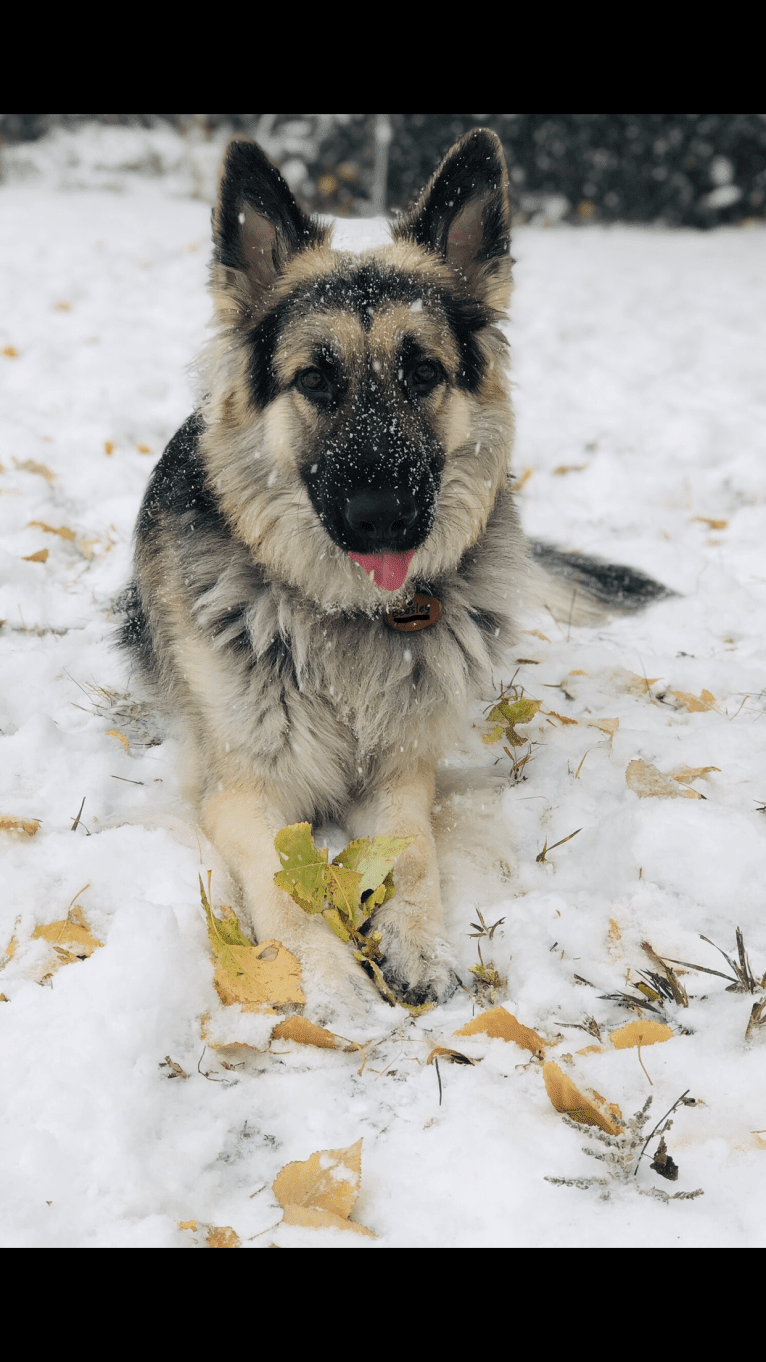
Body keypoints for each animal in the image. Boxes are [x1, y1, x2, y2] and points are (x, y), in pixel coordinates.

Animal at [117, 130, 662, 1013]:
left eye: (423, 372)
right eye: (315, 379)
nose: (384, 515)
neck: (348, 617)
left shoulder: (403, 777)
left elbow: (410, 850)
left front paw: (416, 943)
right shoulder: (243, 791)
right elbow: (281, 878)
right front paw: (326, 971)